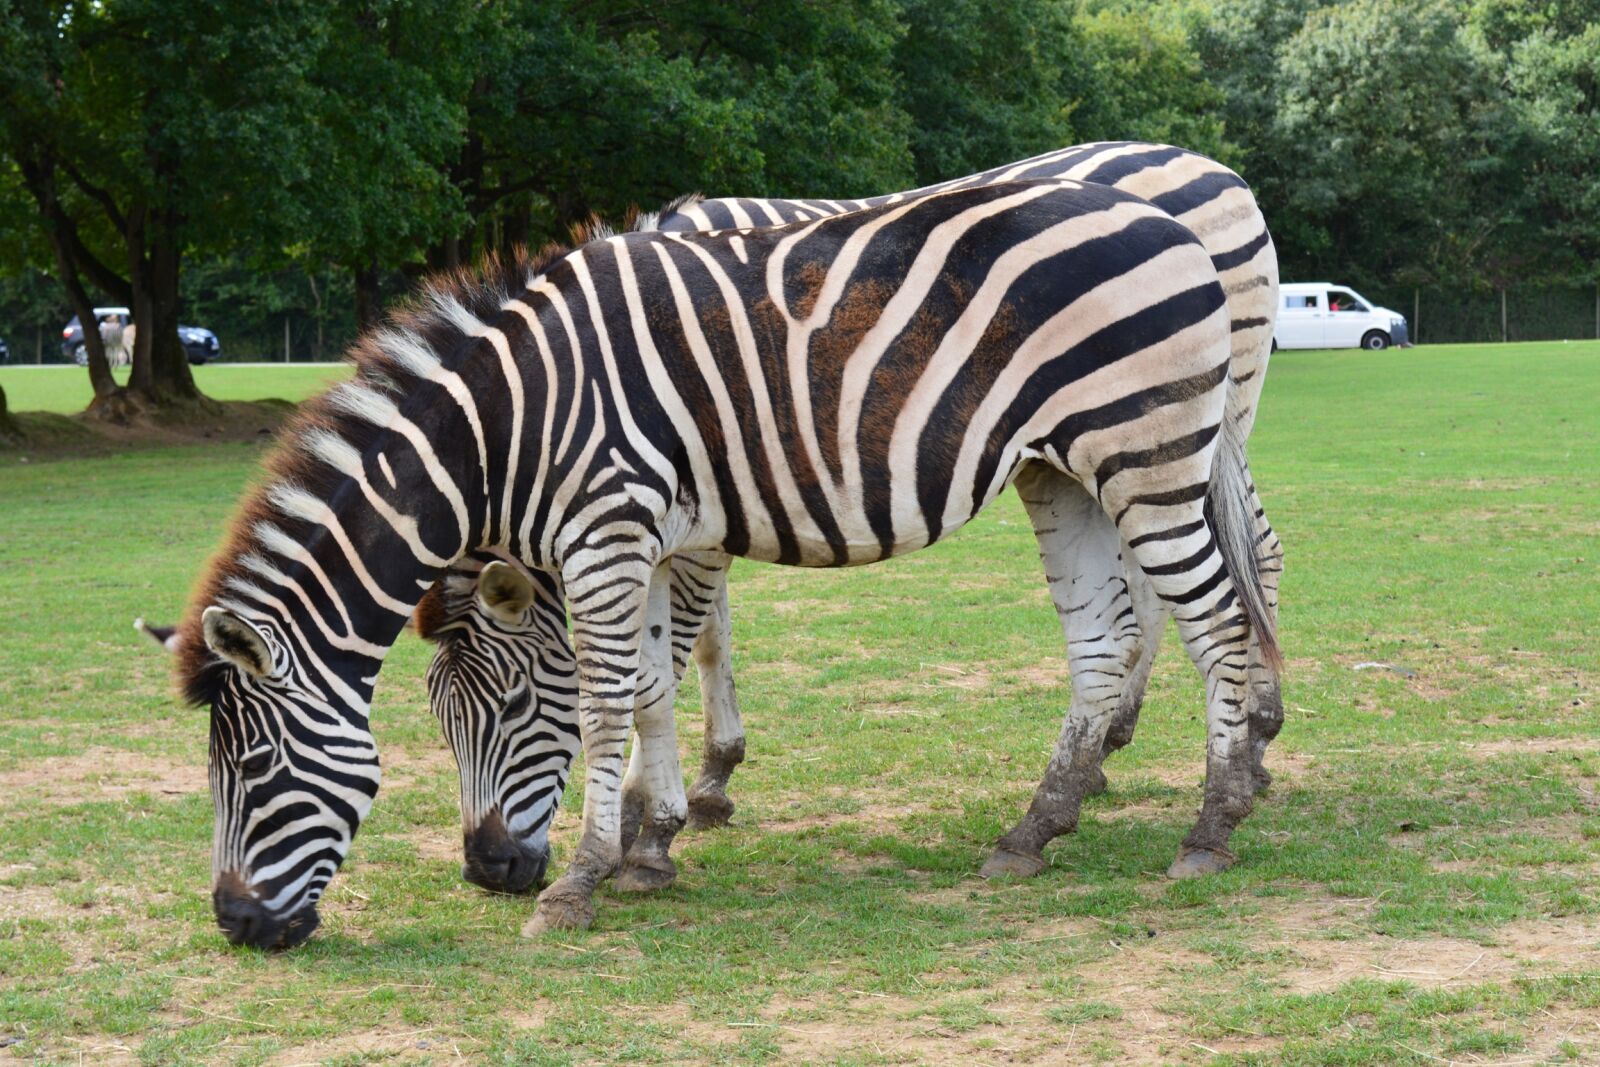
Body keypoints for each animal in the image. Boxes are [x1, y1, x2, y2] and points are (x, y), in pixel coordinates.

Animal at [177, 177, 1279, 945]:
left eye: (255, 769)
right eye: (440, 720)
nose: (236, 925)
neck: (509, 425)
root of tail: (1169, 212)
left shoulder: (613, 529)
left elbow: (614, 699)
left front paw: (588, 875)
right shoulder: (652, 535)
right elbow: (654, 683)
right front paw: (652, 839)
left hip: (1148, 451)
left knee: (1219, 615)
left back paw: (1213, 822)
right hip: (1063, 469)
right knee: (1105, 640)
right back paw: (1034, 830)